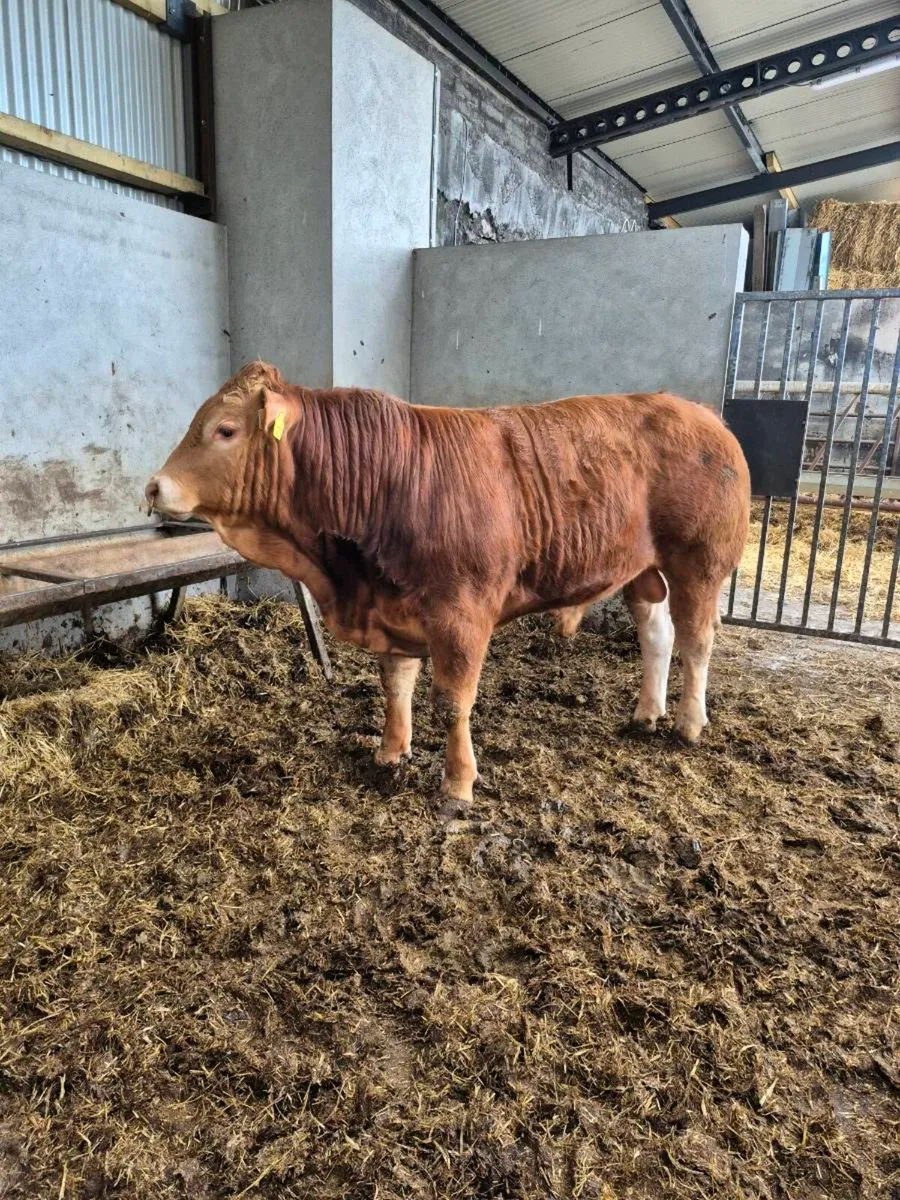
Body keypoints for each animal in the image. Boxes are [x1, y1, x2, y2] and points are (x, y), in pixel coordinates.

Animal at [146, 362, 750, 804]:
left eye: (225, 430)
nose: (154, 487)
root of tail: (698, 412)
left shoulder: (462, 612)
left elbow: (453, 700)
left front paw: (458, 782)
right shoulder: (391, 607)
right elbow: (396, 685)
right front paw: (391, 753)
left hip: (700, 561)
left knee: (697, 641)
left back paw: (688, 724)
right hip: (642, 570)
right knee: (657, 636)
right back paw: (646, 713)